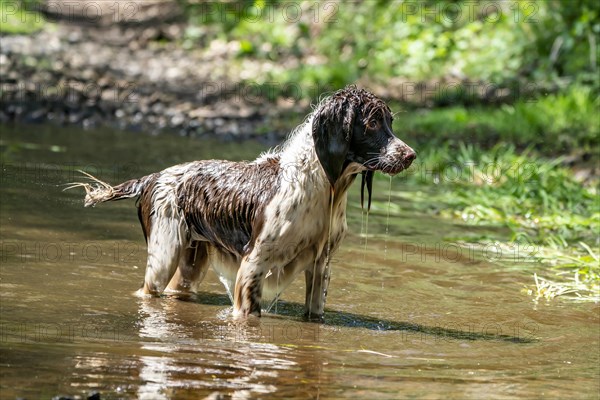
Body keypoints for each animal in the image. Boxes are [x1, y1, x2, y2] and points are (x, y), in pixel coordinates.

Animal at [70, 86, 414, 320]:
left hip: (190, 260)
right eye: (372, 124)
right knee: (148, 291)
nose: (411, 155)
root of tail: (153, 177)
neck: (323, 185)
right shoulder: (254, 262)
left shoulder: (321, 266)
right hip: (163, 255)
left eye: (390, 122)